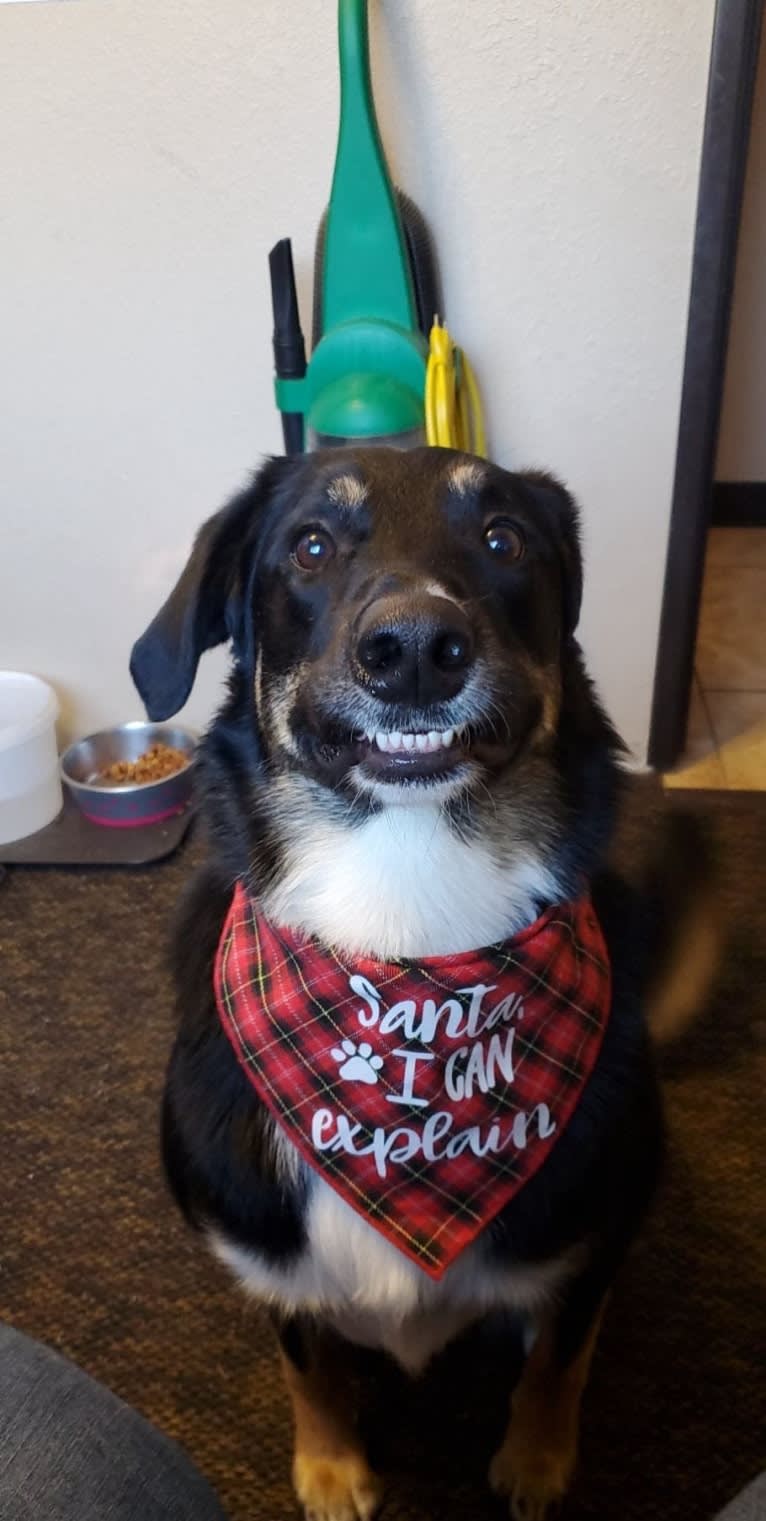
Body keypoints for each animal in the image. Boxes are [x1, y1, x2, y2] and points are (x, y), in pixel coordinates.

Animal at [132, 447, 717, 1521]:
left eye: (502, 538)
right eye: (310, 546)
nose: (413, 648)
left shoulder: (595, 1237)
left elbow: (560, 1356)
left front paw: (537, 1463)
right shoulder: (275, 1264)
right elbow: (307, 1364)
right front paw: (330, 1469)